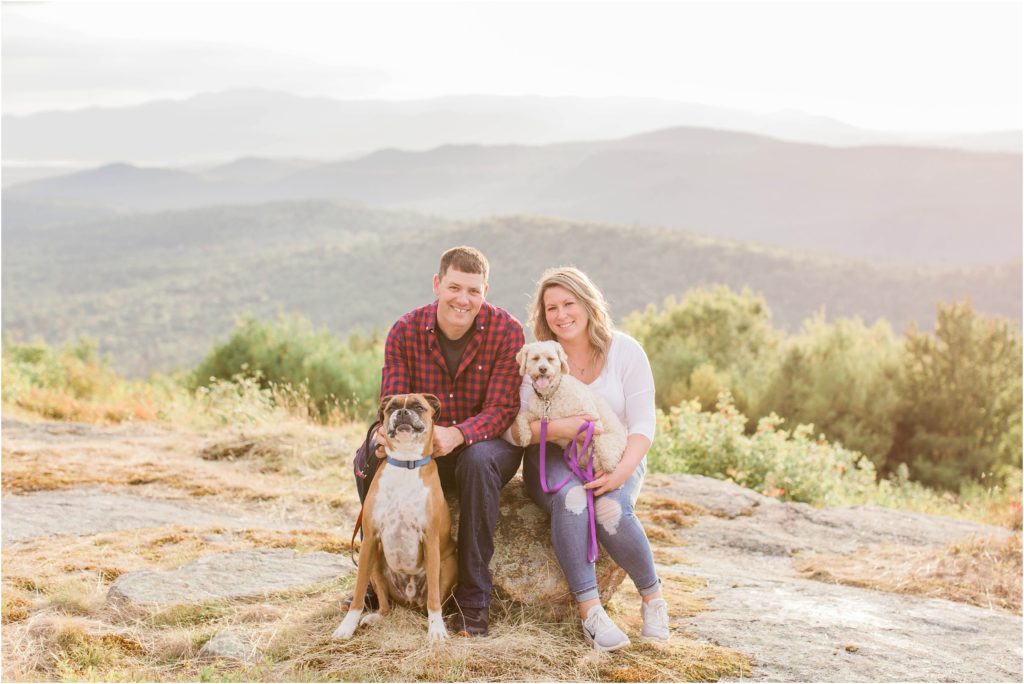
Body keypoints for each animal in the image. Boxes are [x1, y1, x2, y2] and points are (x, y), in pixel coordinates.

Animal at [331, 393, 456, 643]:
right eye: (391, 407)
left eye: (418, 406)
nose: (403, 412)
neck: (406, 465)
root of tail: (410, 600)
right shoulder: (370, 540)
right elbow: (358, 593)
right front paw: (347, 627)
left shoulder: (431, 540)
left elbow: (434, 599)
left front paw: (436, 630)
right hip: (375, 563)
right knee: (386, 607)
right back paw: (375, 618)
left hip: (448, 566)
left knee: (432, 601)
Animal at [509, 339, 622, 473]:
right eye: (535, 358)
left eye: (550, 359)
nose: (543, 369)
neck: (549, 396)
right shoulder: (539, 415)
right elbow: (521, 416)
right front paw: (525, 436)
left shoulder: (590, 415)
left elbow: (597, 434)